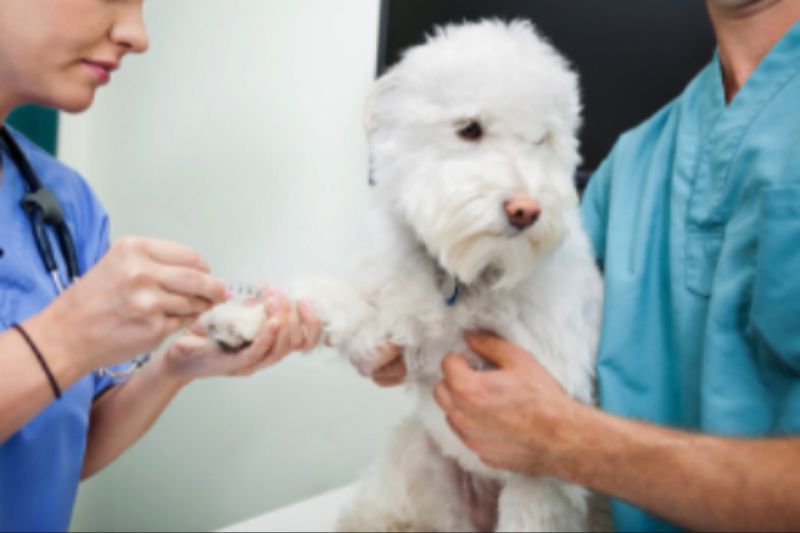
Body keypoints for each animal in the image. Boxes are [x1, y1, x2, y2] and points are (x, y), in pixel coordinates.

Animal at [205, 18, 600, 532]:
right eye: (469, 128)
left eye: (543, 140)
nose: (526, 210)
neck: (462, 277)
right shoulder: (389, 325)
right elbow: (326, 295)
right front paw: (247, 317)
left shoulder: (541, 459)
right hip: (419, 458)